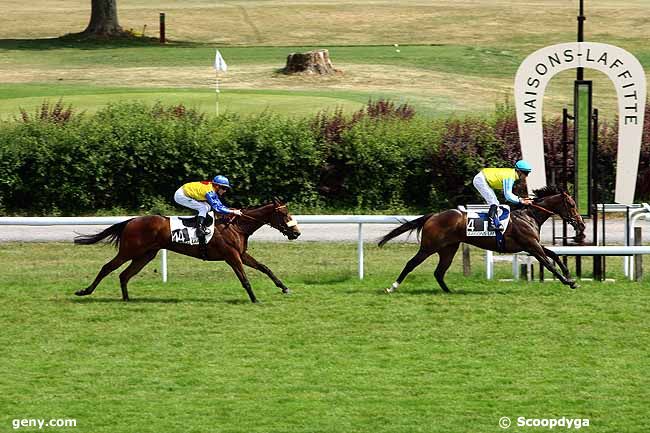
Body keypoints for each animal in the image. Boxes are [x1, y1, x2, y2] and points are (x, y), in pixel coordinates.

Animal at [74, 198, 300, 302]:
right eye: (284, 214)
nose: (296, 233)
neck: (236, 225)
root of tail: (131, 221)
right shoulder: (232, 256)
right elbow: (244, 279)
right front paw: (254, 299)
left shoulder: (241, 254)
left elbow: (264, 268)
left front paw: (284, 287)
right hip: (129, 251)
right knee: (107, 268)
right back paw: (85, 291)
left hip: (145, 255)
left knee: (124, 275)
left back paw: (127, 299)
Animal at [378, 186, 584, 294]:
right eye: (572, 204)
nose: (581, 225)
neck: (529, 215)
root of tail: (433, 216)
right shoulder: (531, 246)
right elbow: (549, 263)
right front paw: (568, 281)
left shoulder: (533, 245)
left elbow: (555, 255)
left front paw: (570, 276)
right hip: (428, 247)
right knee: (411, 264)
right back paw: (392, 287)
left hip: (448, 249)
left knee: (439, 272)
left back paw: (449, 292)